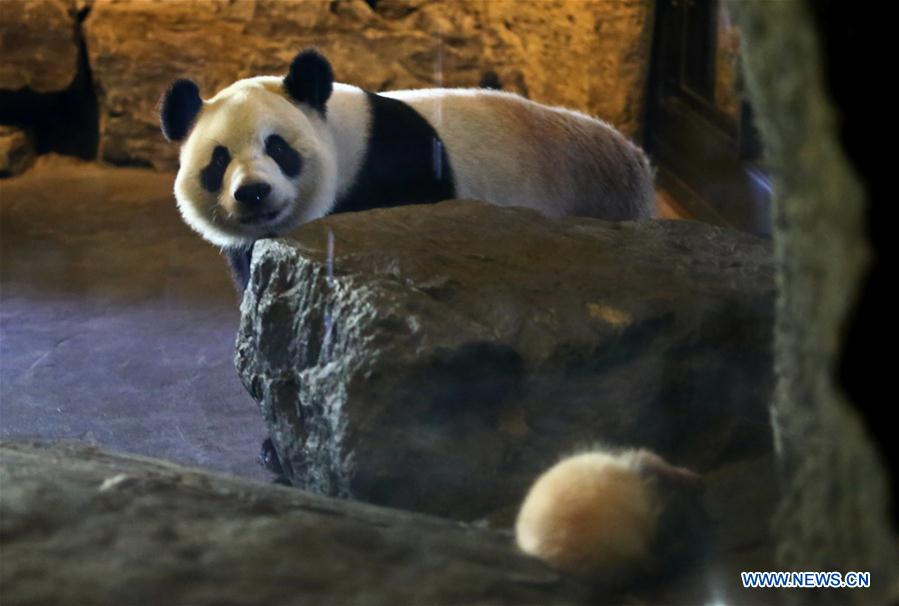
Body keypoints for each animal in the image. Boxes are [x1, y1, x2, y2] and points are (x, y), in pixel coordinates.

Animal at [160, 49, 656, 290]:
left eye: (277, 147)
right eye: (219, 160)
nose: (254, 192)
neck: (348, 143)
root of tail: (636, 157)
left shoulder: (399, 177)